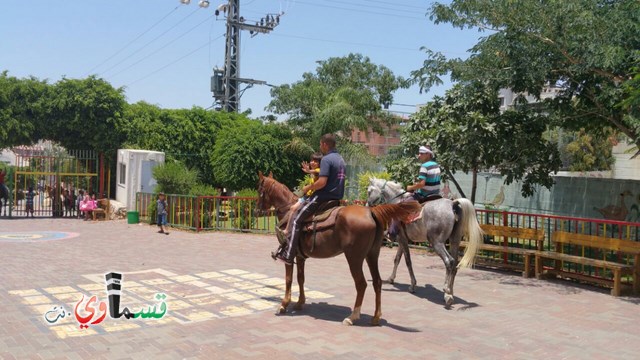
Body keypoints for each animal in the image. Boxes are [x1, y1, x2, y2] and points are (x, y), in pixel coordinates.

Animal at [255, 172, 420, 326]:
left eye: (259, 190)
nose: (256, 211)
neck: (289, 210)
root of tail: (371, 212)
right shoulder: (300, 256)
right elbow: (301, 278)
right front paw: (300, 302)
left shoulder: (289, 256)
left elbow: (289, 279)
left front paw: (283, 305)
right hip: (372, 255)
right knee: (377, 282)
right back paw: (376, 317)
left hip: (354, 258)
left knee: (361, 284)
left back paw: (352, 317)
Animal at [364, 177, 480, 306]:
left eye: (369, 191)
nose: (367, 205)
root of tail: (452, 204)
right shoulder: (402, 239)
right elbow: (397, 259)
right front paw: (391, 278)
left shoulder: (402, 239)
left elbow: (408, 261)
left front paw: (412, 285)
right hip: (455, 241)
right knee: (454, 264)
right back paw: (449, 293)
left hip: (437, 242)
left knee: (449, 261)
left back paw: (446, 290)